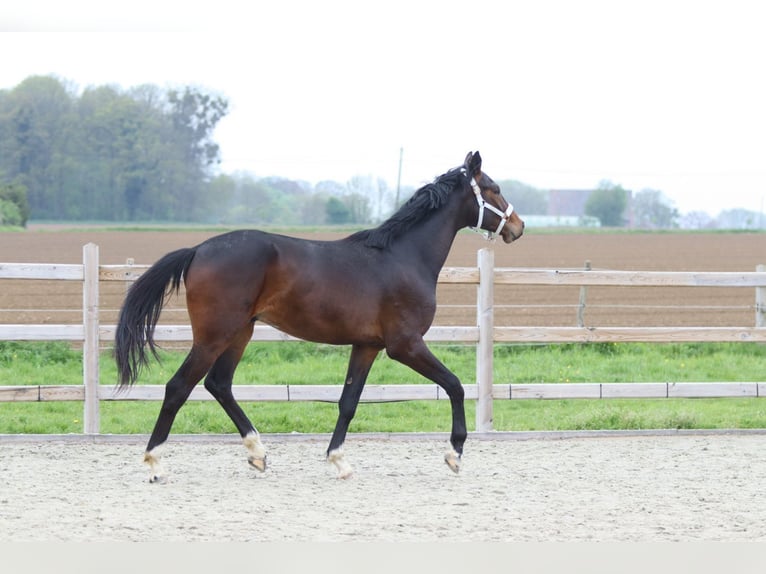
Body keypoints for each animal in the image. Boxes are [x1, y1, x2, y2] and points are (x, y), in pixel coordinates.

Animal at [114, 151, 525, 482]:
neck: (403, 257)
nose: (518, 227)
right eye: (493, 188)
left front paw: (338, 461)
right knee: (178, 387)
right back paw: (155, 463)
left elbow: (348, 402)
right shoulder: (405, 345)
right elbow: (455, 385)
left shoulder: (367, 346)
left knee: (219, 384)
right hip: (214, 335)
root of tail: (198, 249)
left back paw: (258, 453)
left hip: (240, 333)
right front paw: (454, 454)